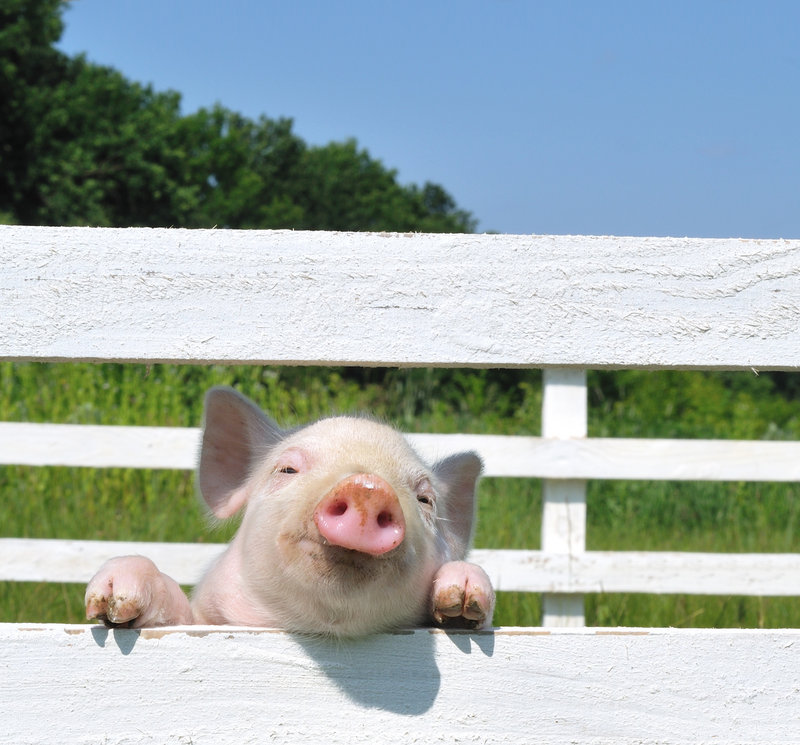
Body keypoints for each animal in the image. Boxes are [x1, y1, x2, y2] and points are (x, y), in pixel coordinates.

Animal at [83, 386, 494, 636]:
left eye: (425, 499)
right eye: (288, 470)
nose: (367, 486)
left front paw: (463, 594)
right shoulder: (205, 619)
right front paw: (114, 598)